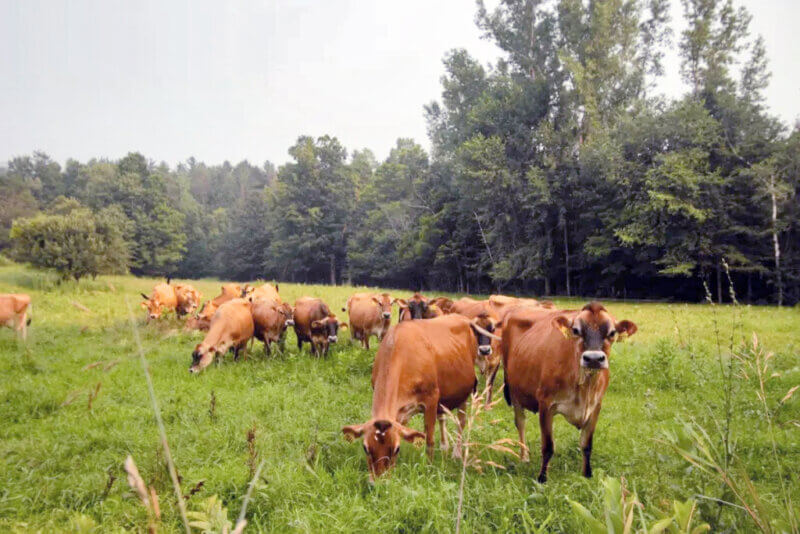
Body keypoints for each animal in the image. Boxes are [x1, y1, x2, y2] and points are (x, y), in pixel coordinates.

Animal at [342, 314, 500, 482]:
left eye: (396, 449)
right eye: (366, 448)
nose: (378, 482)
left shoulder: (431, 399)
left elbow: (429, 438)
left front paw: (429, 467)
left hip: (465, 391)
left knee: (461, 422)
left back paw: (456, 453)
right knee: (443, 418)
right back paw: (444, 446)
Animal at [500, 304, 636, 484]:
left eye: (612, 332)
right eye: (576, 330)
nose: (593, 358)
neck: (584, 386)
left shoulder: (596, 406)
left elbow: (586, 445)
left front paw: (587, 474)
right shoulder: (545, 403)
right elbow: (548, 446)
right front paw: (542, 478)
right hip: (514, 390)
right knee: (521, 422)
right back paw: (524, 457)